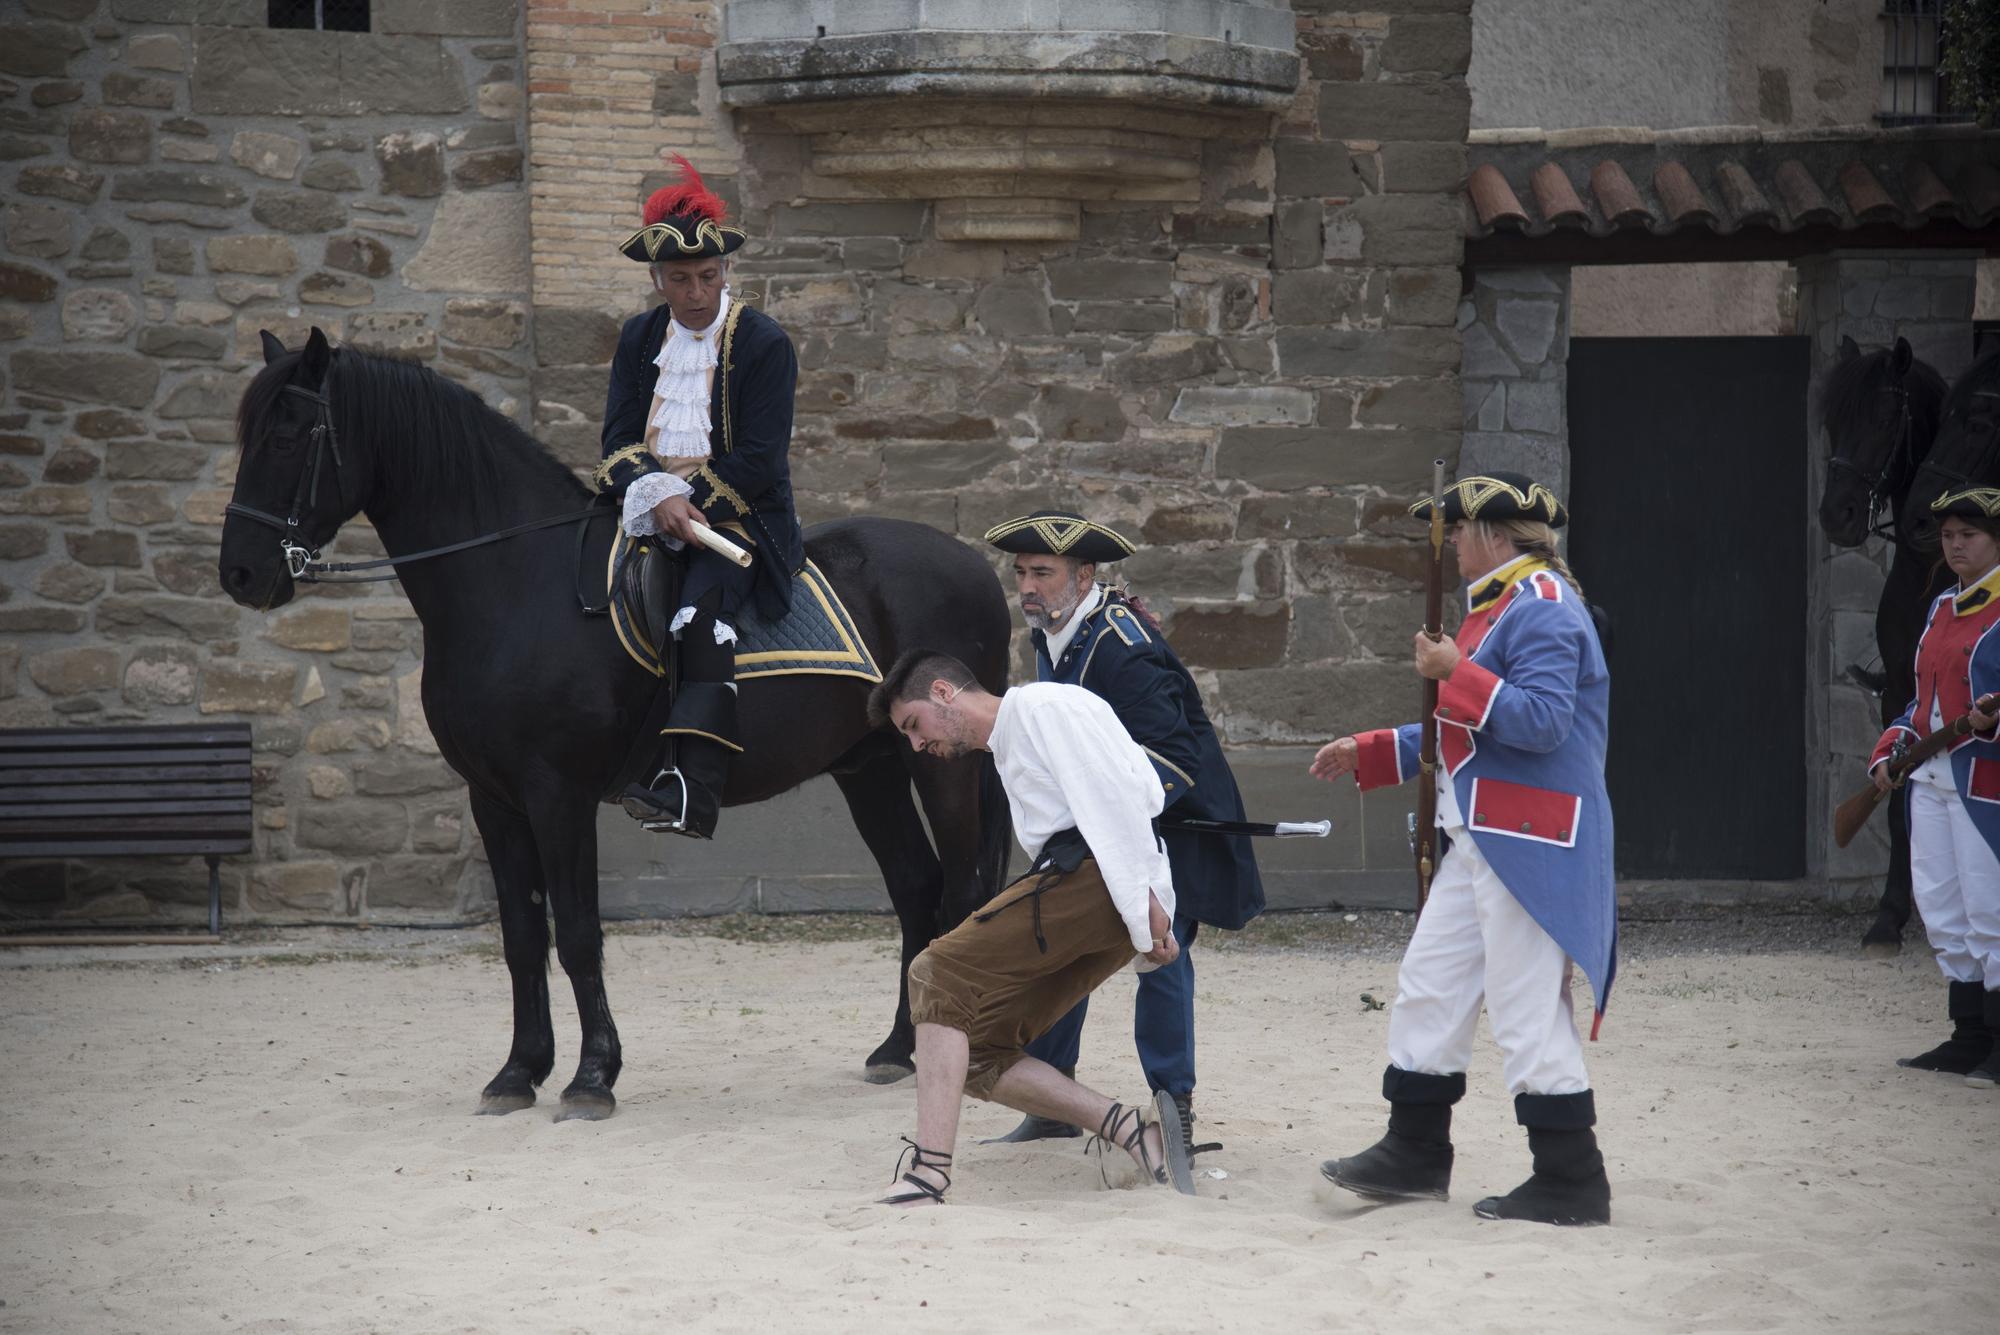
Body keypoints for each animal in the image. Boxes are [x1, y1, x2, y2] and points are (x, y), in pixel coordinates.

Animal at [219, 331, 1016, 1119]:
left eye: (287, 437)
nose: (240, 575)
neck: (516, 584)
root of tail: (973, 563)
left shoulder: (557, 793)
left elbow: (575, 932)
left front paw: (591, 1075)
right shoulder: (494, 798)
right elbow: (520, 936)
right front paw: (518, 1071)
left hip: (940, 762)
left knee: (961, 893)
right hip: (870, 766)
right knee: (916, 887)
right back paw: (898, 1048)